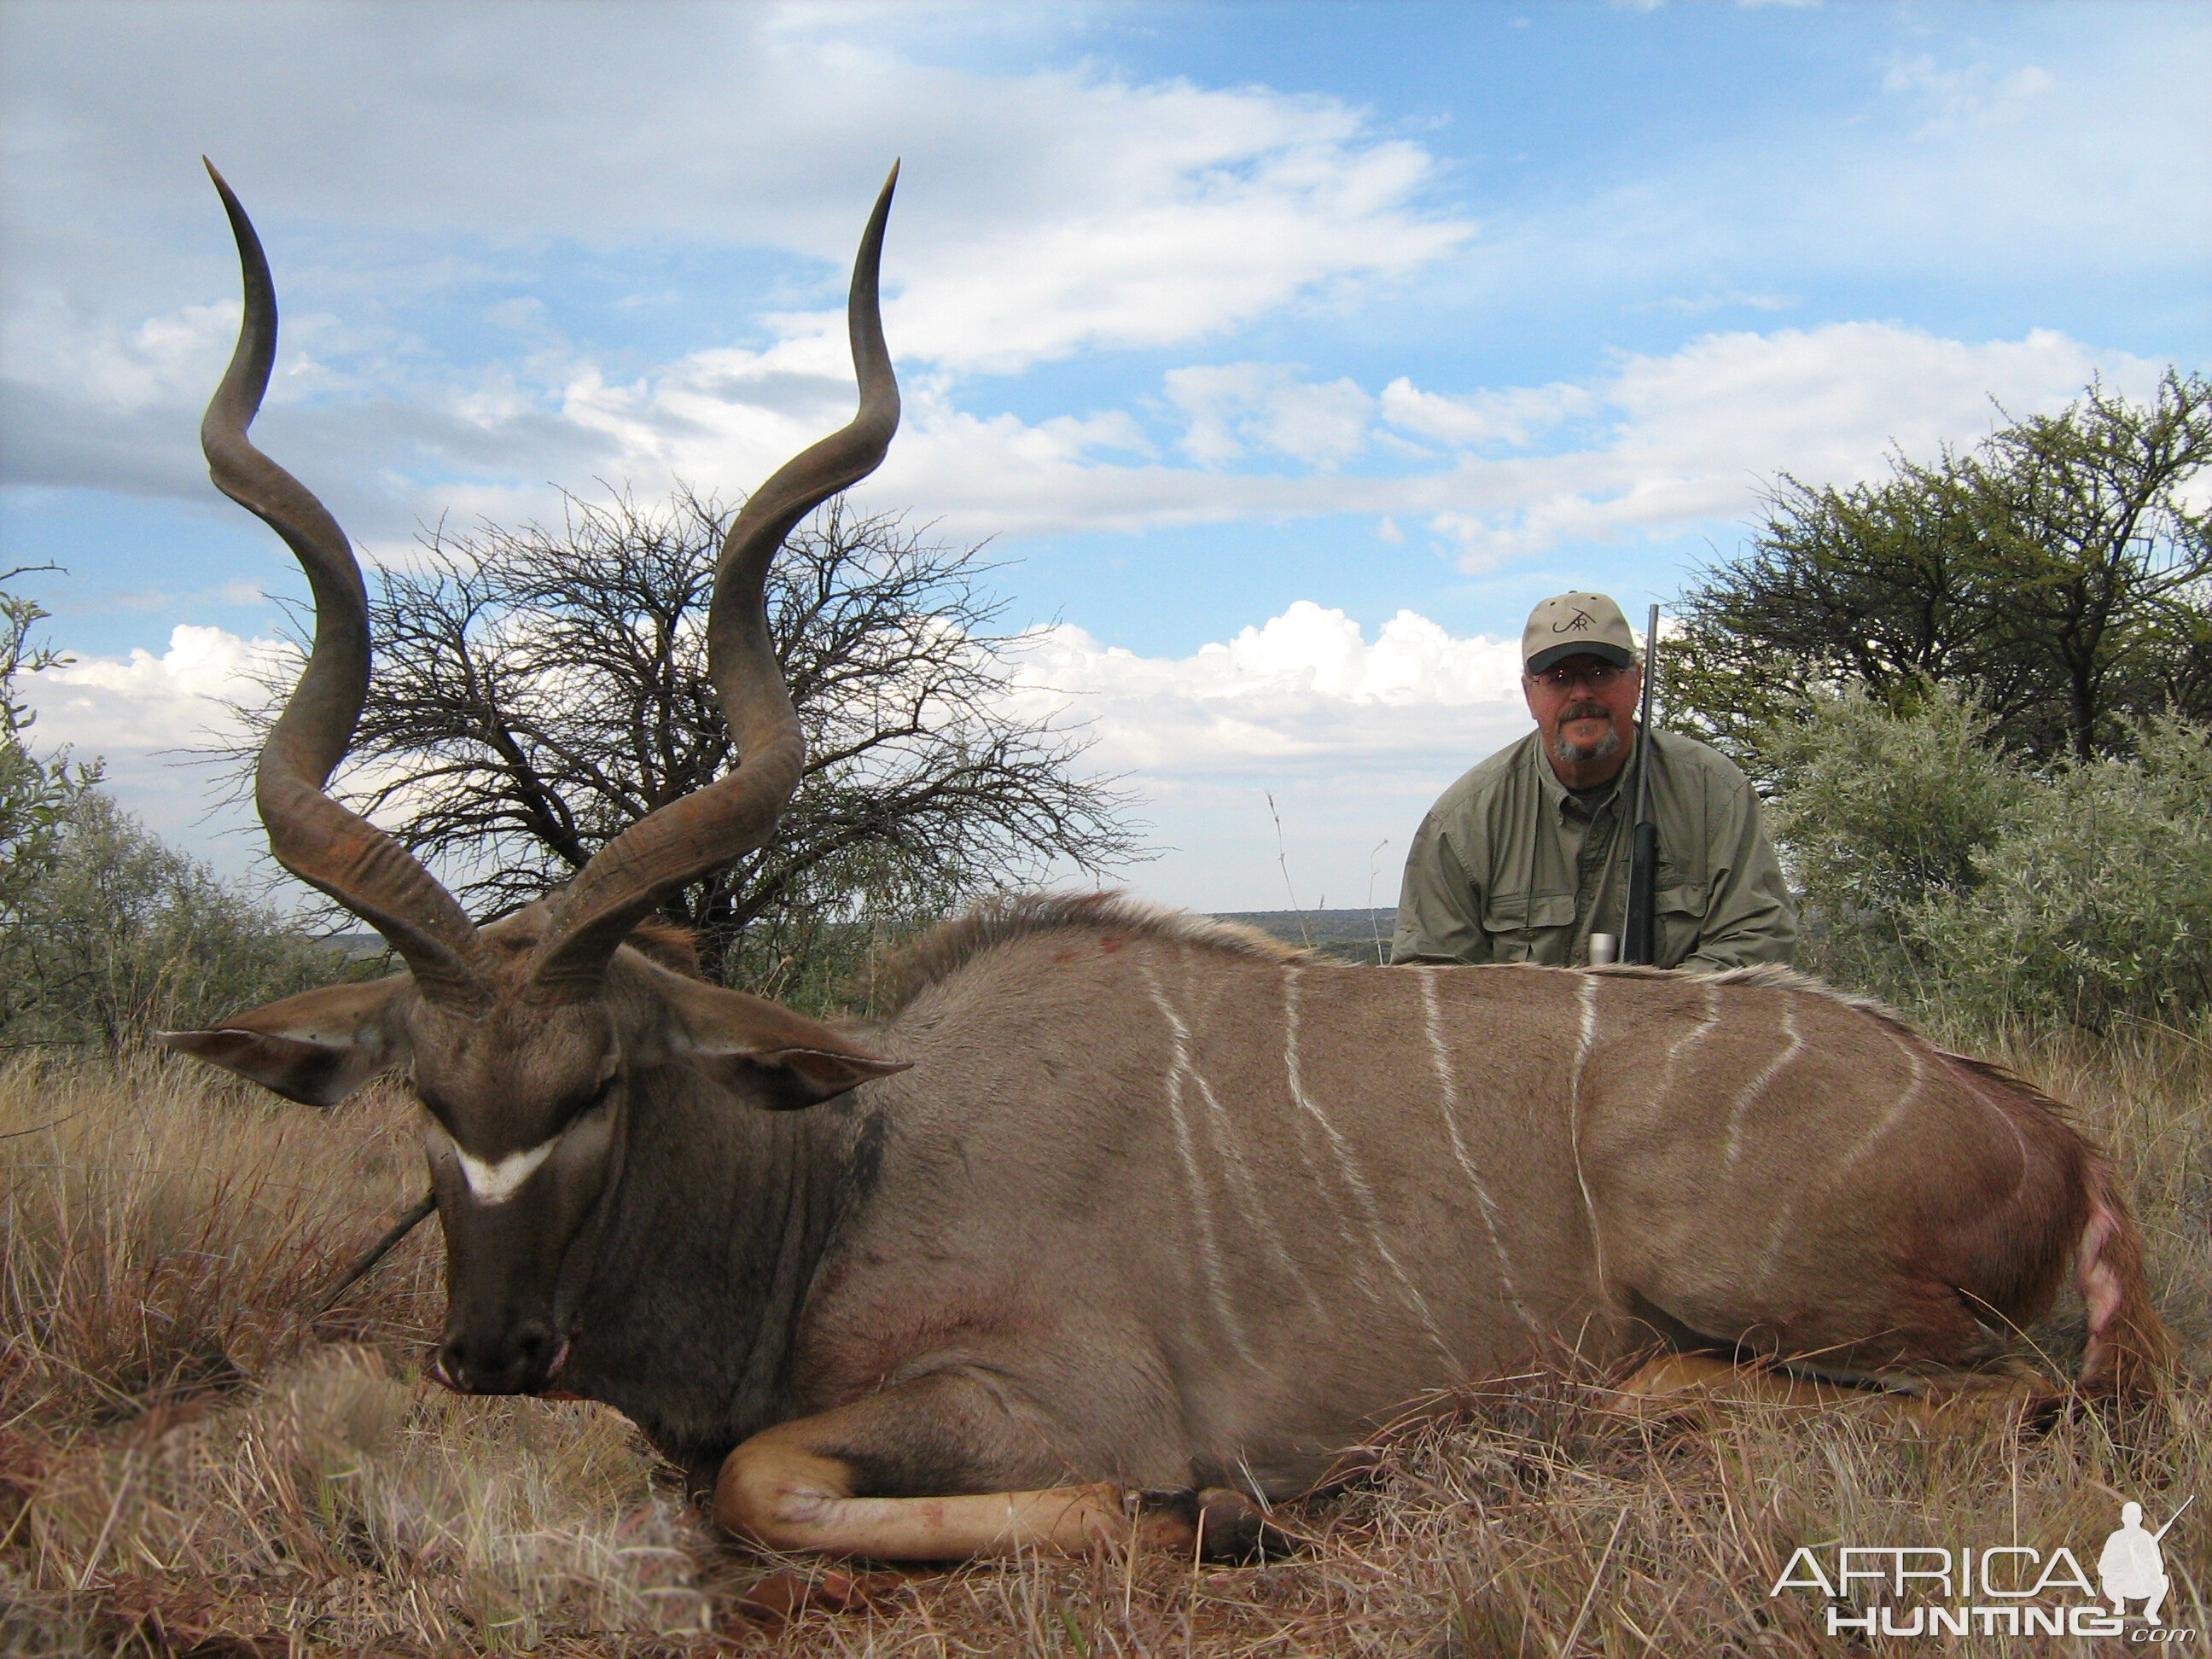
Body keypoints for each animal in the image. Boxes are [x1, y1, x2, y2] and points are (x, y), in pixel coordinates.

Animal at [167, 162, 2158, 1566]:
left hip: (1812, 1304)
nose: (491, 1351)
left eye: (600, 1080)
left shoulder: (1046, 1398)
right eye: (425, 1091)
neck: (846, 1162)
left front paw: (1211, 1510)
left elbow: (767, 1477)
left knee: (2004, 1400)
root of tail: (2043, 1131)